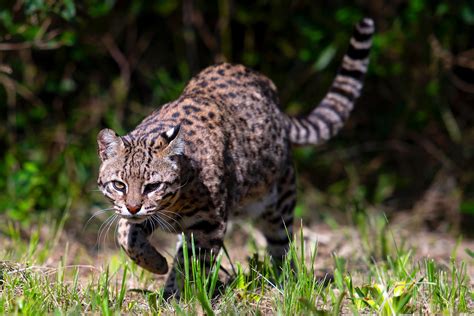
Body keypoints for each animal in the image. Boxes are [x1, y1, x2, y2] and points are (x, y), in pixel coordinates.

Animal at [97, 18, 374, 298]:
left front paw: (184, 295)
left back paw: (285, 282)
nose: (133, 207)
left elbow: (193, 262)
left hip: (280, 204)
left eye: (153, 186)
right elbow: (126, 235)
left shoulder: (209, 224)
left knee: (281, 246)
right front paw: (157, 265)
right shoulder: (153, 218)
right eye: (119, 185)